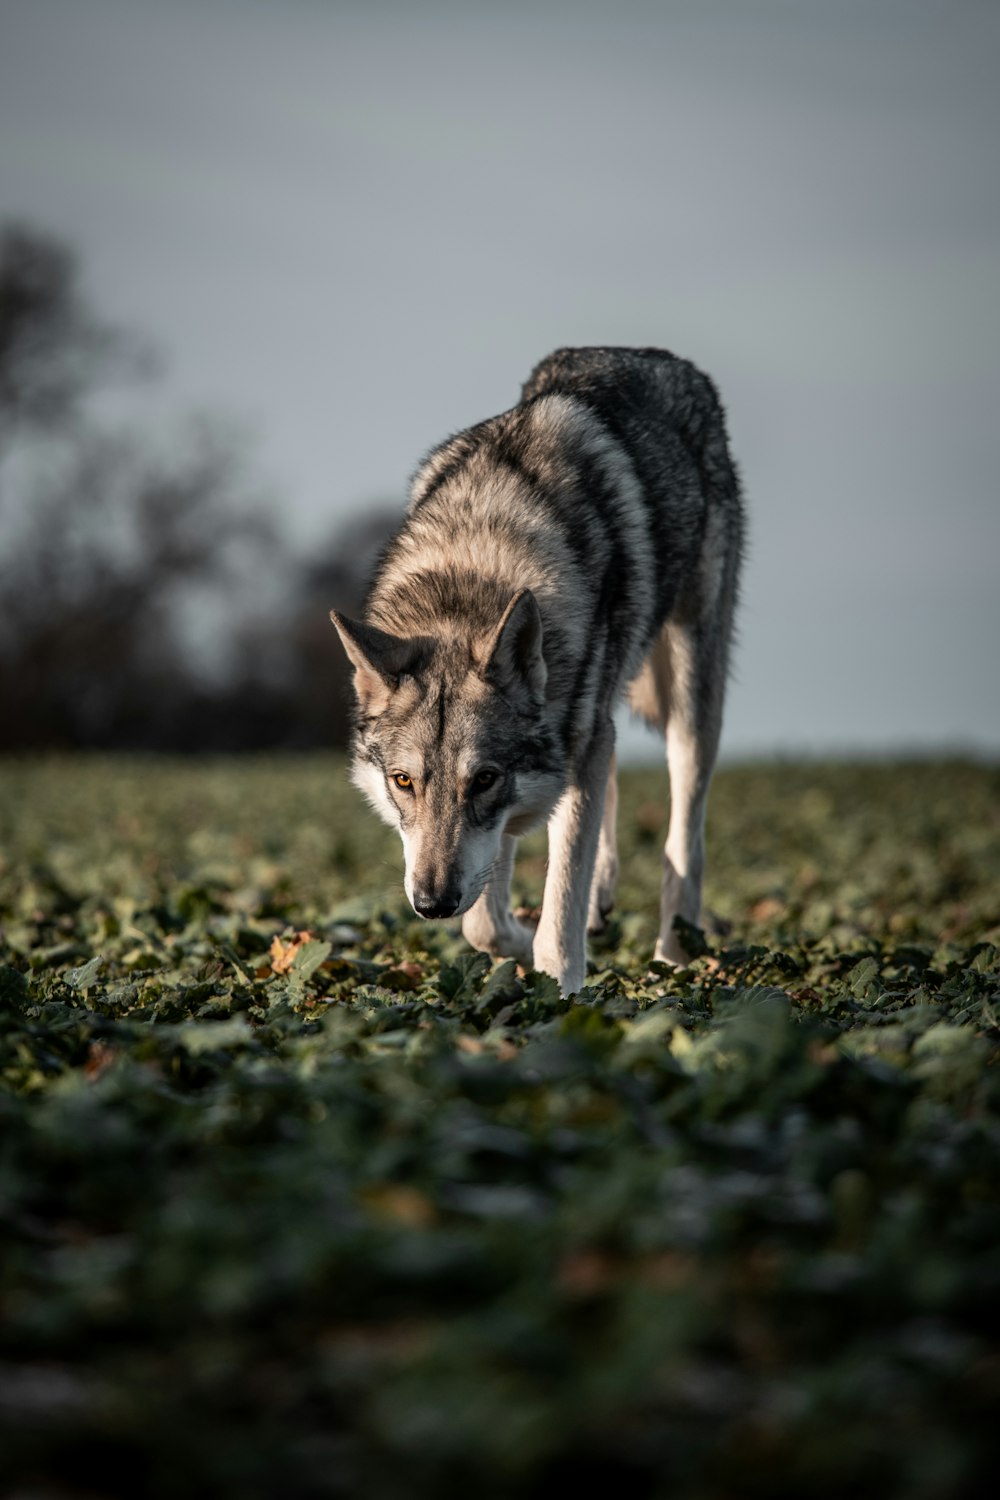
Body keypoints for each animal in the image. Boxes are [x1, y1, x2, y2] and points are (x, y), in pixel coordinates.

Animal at [332, 345, 746, 990]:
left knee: (685, 840)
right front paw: (517, 945)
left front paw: (558, 989)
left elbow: (558, 908)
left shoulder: (547, 763)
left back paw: (672, 960)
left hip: (688, 700)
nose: (431, 904)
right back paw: (605, 900)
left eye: (483, 778)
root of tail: (653, 354)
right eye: (403, 781)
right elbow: (482, 923)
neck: (476, 565)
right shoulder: (536, 782)